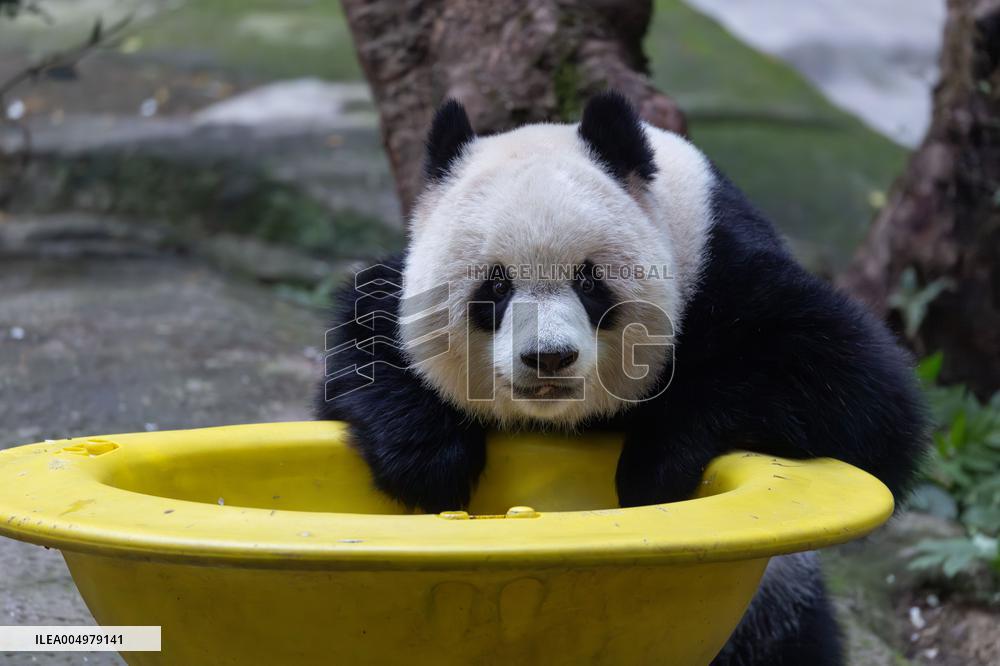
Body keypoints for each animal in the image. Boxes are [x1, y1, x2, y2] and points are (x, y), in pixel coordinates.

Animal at [317, 92, 927, 665]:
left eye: (590, 283)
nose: (549, 358)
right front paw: (430, 463)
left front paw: (652, 472)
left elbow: (859, 388)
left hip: (771, 595)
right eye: (495, 288)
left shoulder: (721, 265)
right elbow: (365, 339)